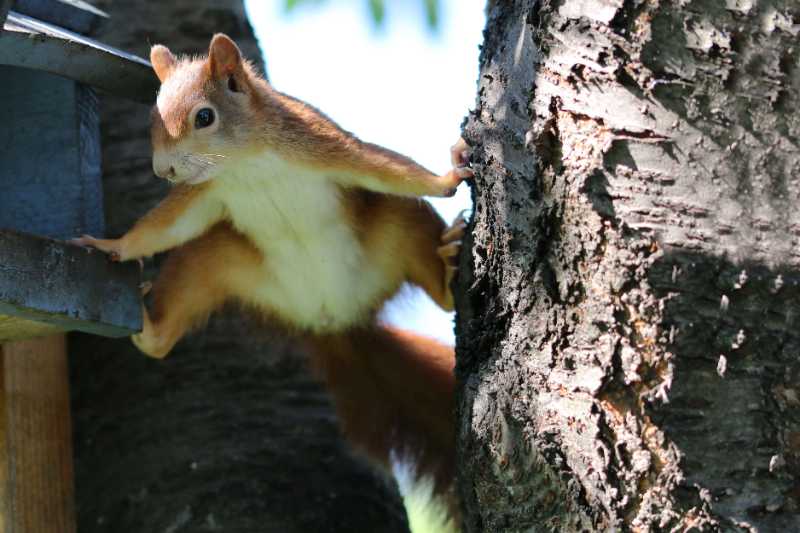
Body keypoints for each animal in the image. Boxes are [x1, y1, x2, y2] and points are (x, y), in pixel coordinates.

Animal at [72, 33, 472, 532]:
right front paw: (113, 245)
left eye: (205, 116)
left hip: (398, 226)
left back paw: (449, 269)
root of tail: (333, 320)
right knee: (166, 329)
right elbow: (161, 229)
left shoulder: (321, 144)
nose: (164, 171)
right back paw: (149, 329)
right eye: (152, 117)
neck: (246, 164)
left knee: (433, 275)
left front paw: (449, 175)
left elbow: (386, 167)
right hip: (215, 261)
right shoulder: (203, 194)